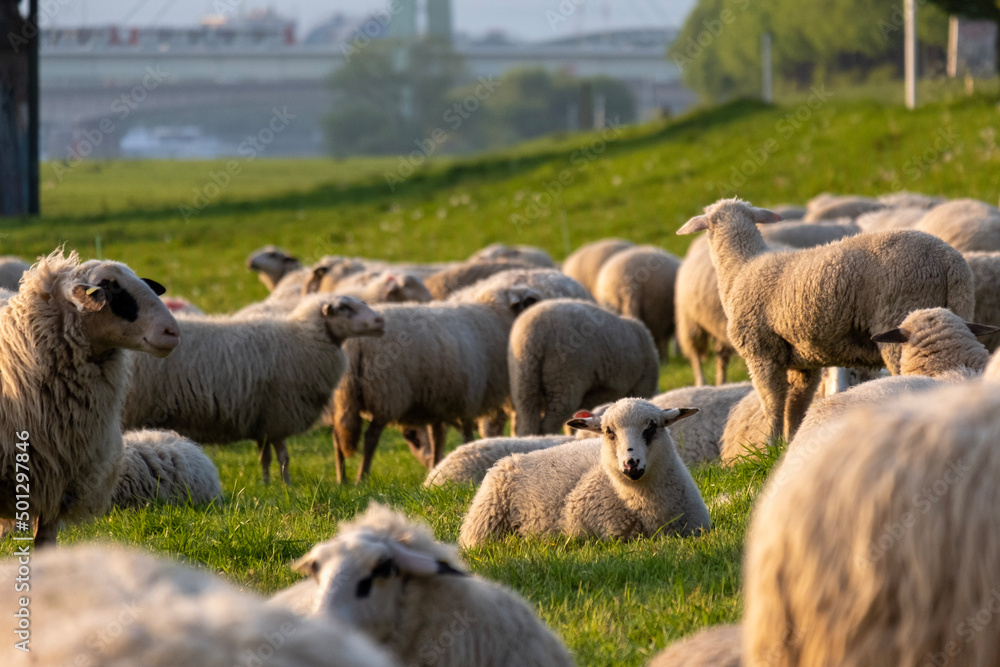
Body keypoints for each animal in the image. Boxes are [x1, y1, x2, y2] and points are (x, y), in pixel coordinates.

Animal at [123, 294, 385, 485]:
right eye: (345, 308)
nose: (380, 321)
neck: (302, 339)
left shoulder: (262, 418)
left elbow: (265, 457)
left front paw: (267, 484)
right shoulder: (279, 414)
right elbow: (284, 457)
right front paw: (287, 486)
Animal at [331, 284, 542, 482]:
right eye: (530, 301)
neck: (494, 316)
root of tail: (354, 343)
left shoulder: (438, 403)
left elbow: (437, 438)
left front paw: (435, 467)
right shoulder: (469, 397)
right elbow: (465, 434)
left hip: (340, 399)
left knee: (337, 437)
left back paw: (342, 479)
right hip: (387, 392)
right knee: (371, 437)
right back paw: (361, 478)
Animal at [508, 298, 660, 436]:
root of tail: (535, 337)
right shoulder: (642, 383)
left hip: (524, 379)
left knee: (527, 420)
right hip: (563, 378)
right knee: (549, 423)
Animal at [677, 197, 974, 441]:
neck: (742, 269)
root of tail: (949, 258)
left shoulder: (761, 354)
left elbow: (772, 404)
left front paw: (770, 445)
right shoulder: (803, 364)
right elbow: (795, 406)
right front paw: (788, 444)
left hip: (901, 318)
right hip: (956, 319)